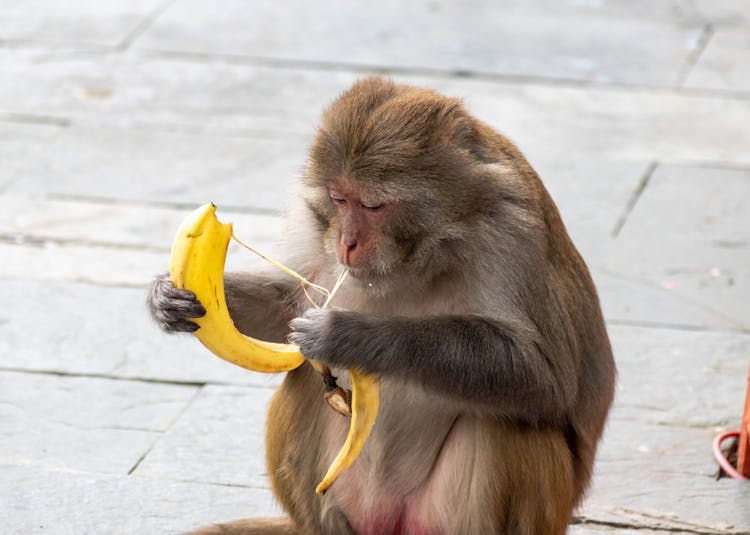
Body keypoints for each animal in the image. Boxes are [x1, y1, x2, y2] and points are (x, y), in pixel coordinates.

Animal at [147, 76, 616, 535]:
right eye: (339, 198)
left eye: (373, 205)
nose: (346, 242)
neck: (429, 249)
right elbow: (291, 307)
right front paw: (168, 299)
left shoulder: (510, 229)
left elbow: (542, 375)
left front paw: (347, 335)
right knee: (305, 380)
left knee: (506, 421)